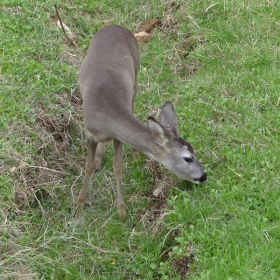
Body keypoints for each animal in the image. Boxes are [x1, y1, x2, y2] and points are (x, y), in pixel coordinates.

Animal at [76, 25, 208, 215]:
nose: (204, 176)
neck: (106, 113)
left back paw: (134, 154)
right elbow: (88, 166)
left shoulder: (118, 137)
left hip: (135, 74)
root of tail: (116, 26)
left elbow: (117, 167)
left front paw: (121, 209)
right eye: (188, 158)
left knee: (132, 105)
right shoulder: (90, 133)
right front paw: (80, 203)